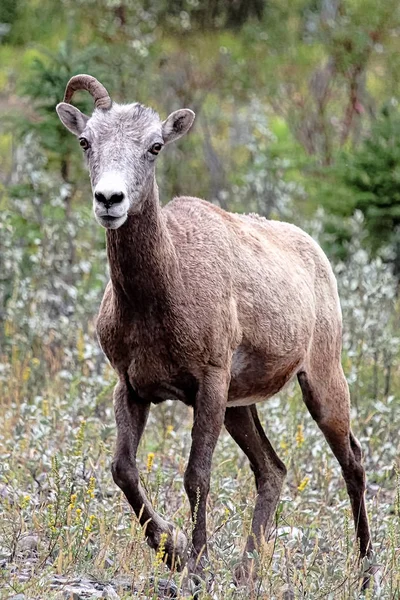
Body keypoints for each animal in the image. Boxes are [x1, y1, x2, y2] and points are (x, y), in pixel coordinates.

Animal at [55, 75, 372, 584]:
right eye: (86, 141)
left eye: (155, 146)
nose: (109, 200)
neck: (160, 297)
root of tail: (314, 251)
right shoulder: (132, 387)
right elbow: (123, 470)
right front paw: (174, 550)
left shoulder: (208, 382)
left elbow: (196, 477)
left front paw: (197, 566)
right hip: (239, 407)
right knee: (272, 470)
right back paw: (245, 574)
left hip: (321, 382)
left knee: (353, 464)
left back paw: (366, 574)